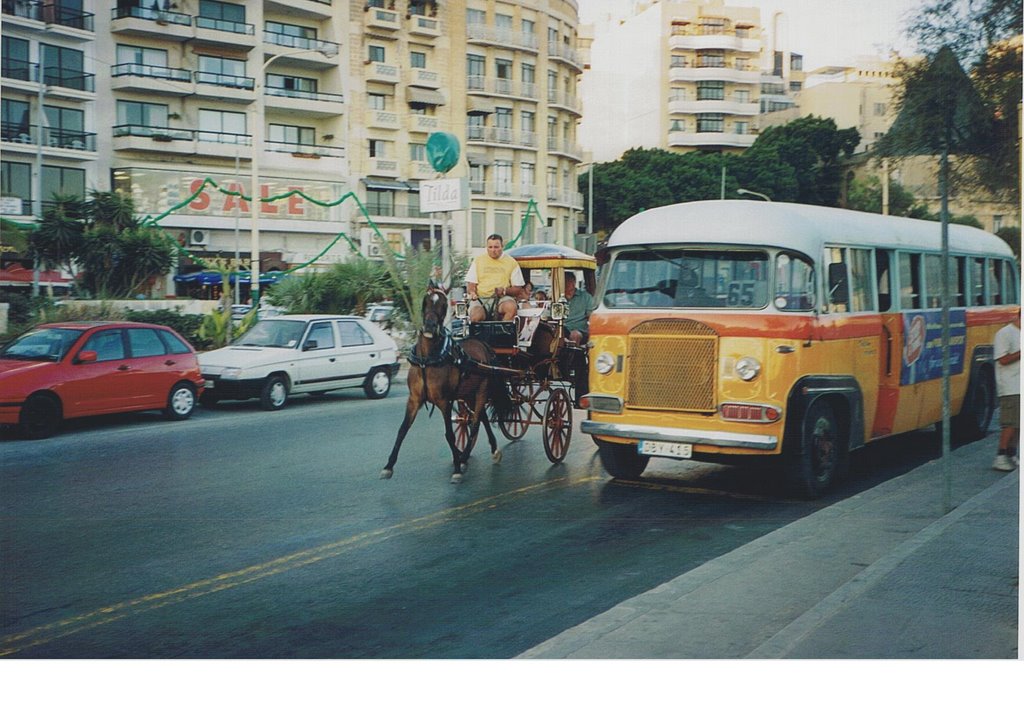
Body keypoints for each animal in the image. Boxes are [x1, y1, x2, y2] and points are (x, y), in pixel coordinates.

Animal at [380, 286, 507, 481]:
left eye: (443, 304)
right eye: (425, 301)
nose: (429, 327)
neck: (427, 360)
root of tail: (485, 346)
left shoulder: (444, 401)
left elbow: (449, 435)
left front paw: (456, 468)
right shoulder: (414, 400)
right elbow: (402, 430)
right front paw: (388, 466)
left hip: (482, 391)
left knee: (475, 423)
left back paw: (464, 457)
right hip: (468, 394)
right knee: (481, 419)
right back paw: (489, 450)